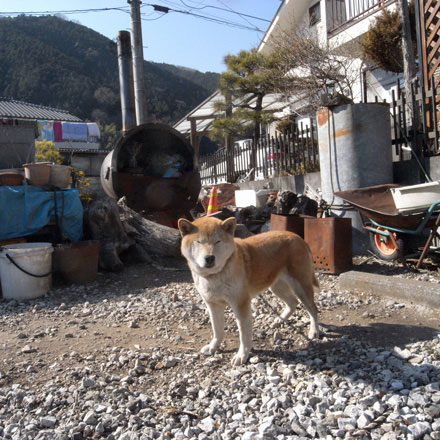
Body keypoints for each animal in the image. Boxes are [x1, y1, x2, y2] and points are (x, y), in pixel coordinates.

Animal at [179, 216, 320, 364]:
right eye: (199, 242)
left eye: (218, 241)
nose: (209, 258)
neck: (215, 275)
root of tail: (298, 237)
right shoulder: (213, 305)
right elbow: (217, 330)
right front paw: (213, 347)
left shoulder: (240, 305)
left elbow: (244, 336)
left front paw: (242, 355)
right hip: (277, 287)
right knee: (293, 303)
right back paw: (280, 320)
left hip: (301, 286)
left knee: (313, 309)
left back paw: (314, 330)